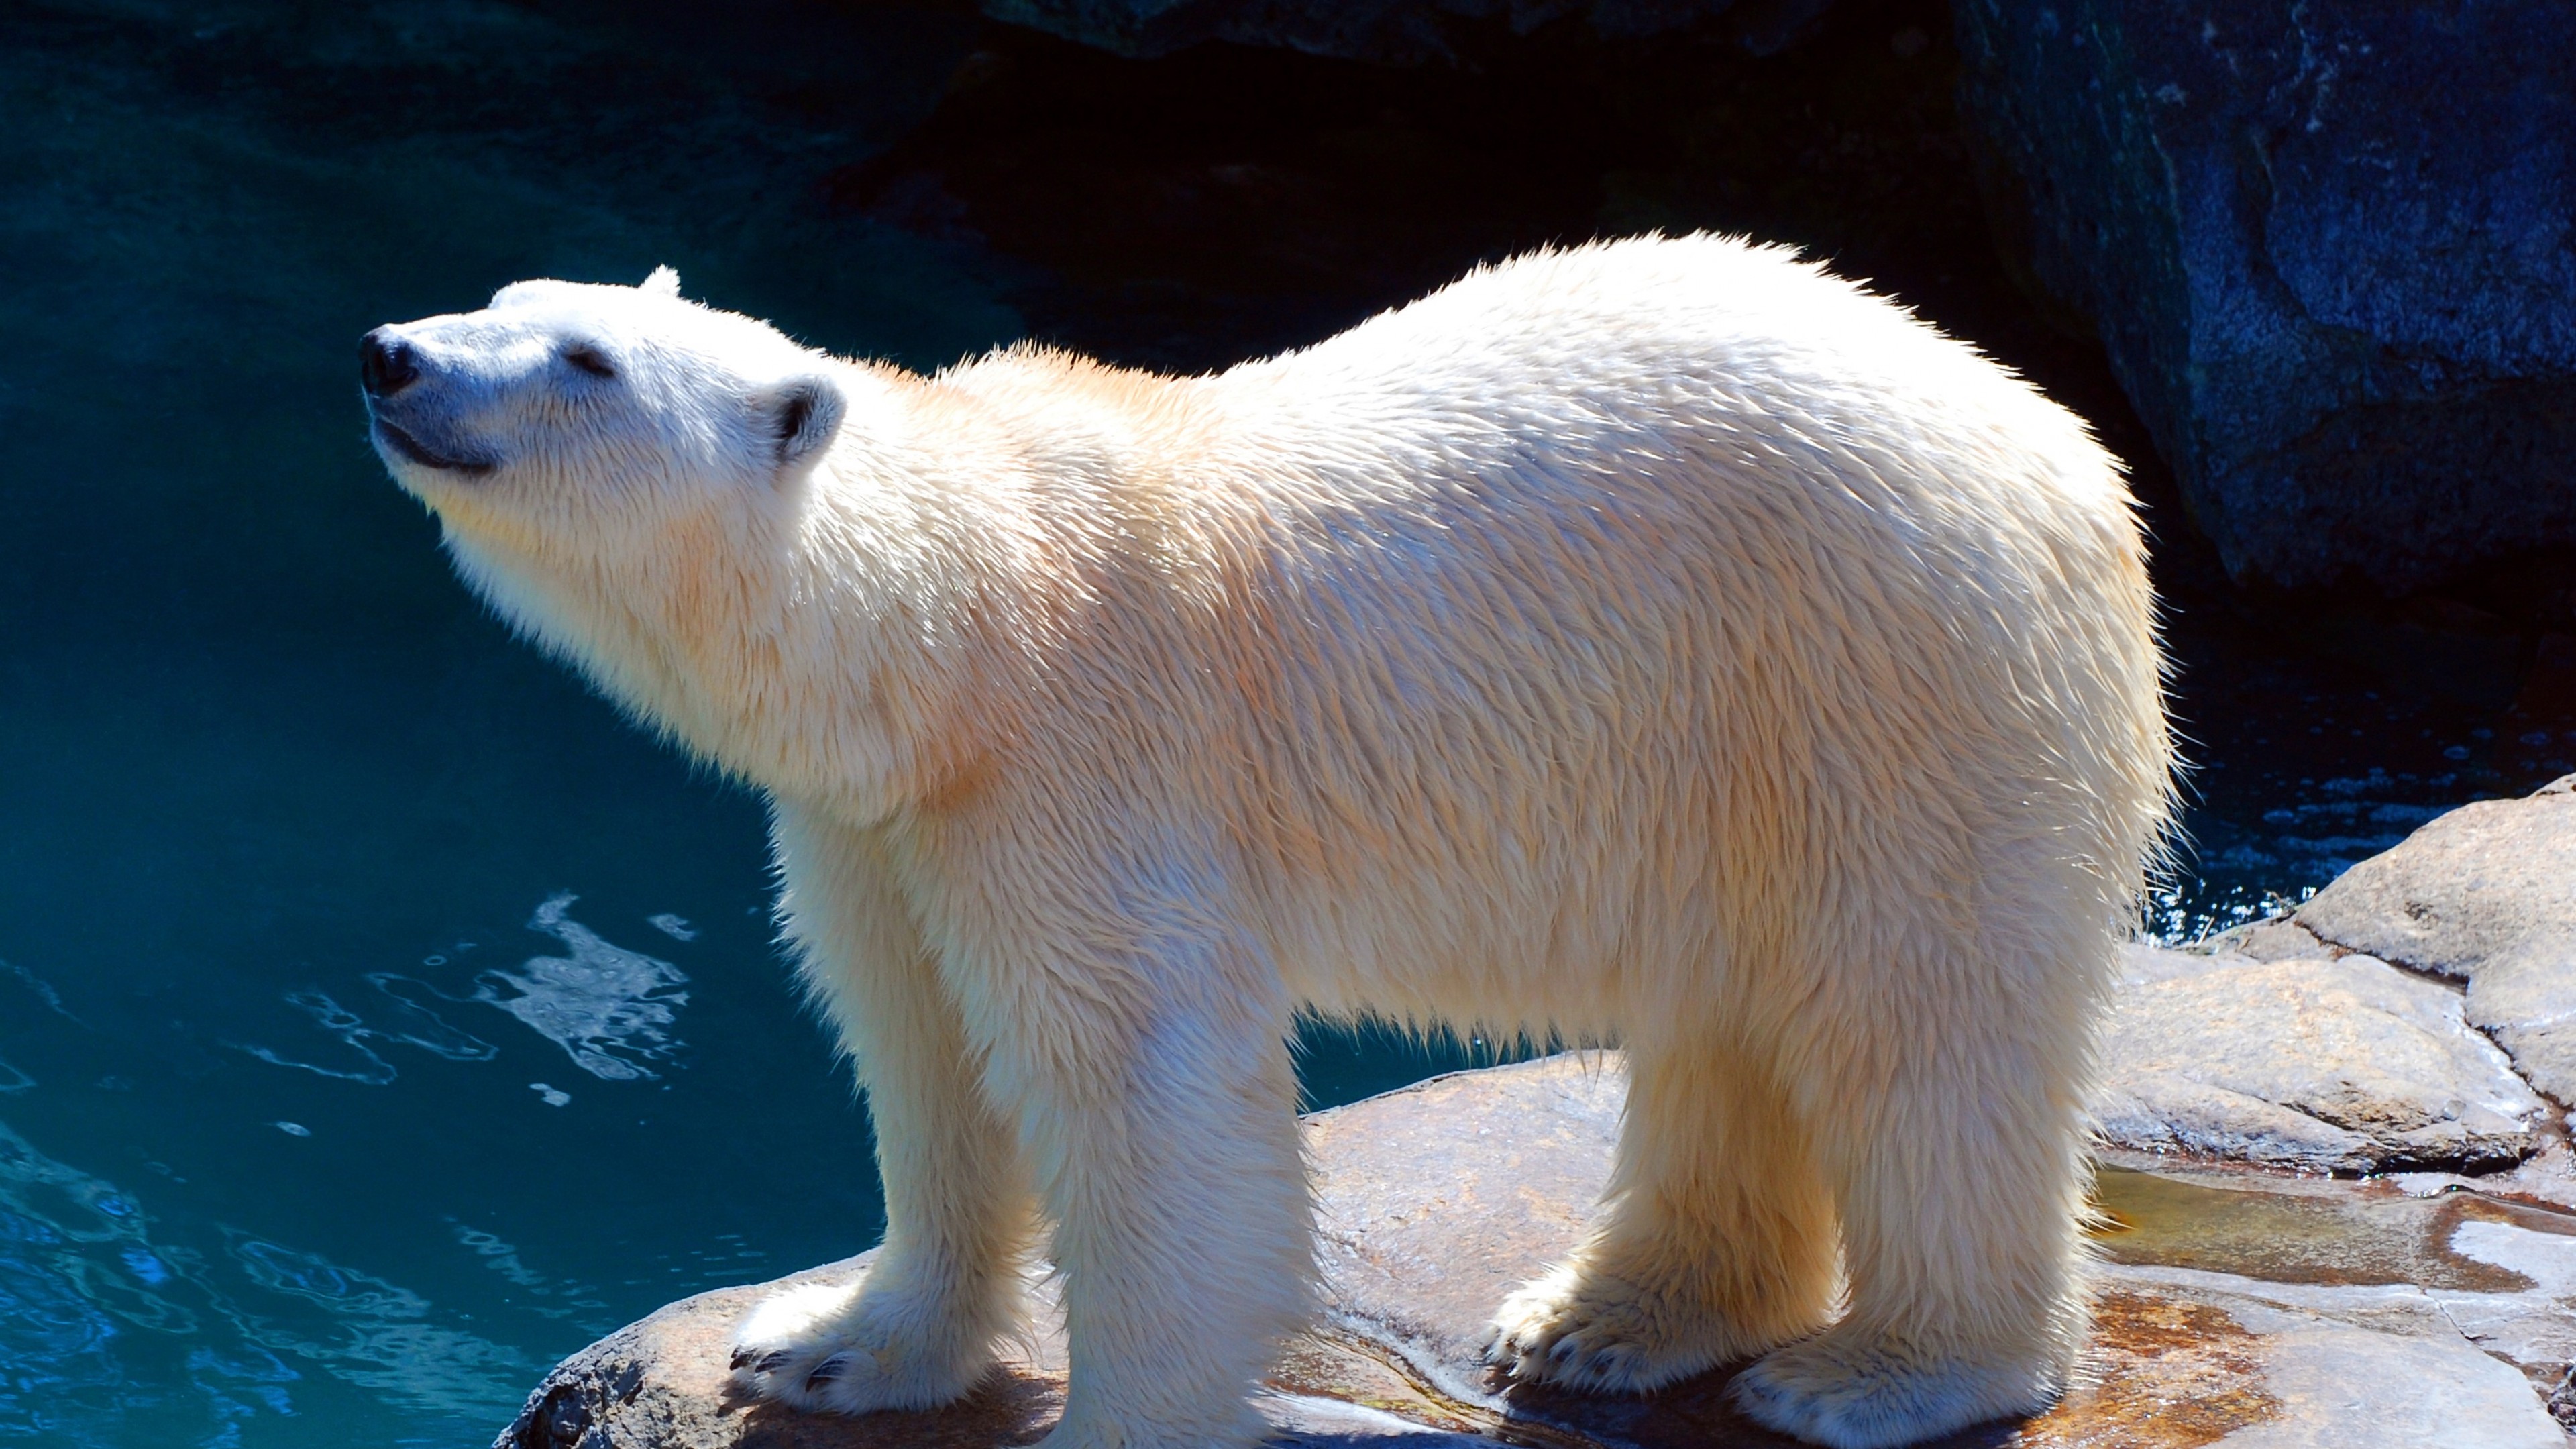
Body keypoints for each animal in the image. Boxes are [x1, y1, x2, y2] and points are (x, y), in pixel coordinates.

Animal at [360, 236, 2171, 1449]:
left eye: (587, 361)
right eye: (503, 301)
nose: (391, 352)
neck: (966, 623)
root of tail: (2068, 457)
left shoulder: (1083, 772)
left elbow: (1144, 1098)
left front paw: (1120, 1419)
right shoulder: (887, 825)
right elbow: (924, 1056)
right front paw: (820, 1344)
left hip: (1890, 675)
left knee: (1917, 1021)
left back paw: (1877, 1374)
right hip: (1750, 745)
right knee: (1732, 1015)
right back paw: (1601, 1324)